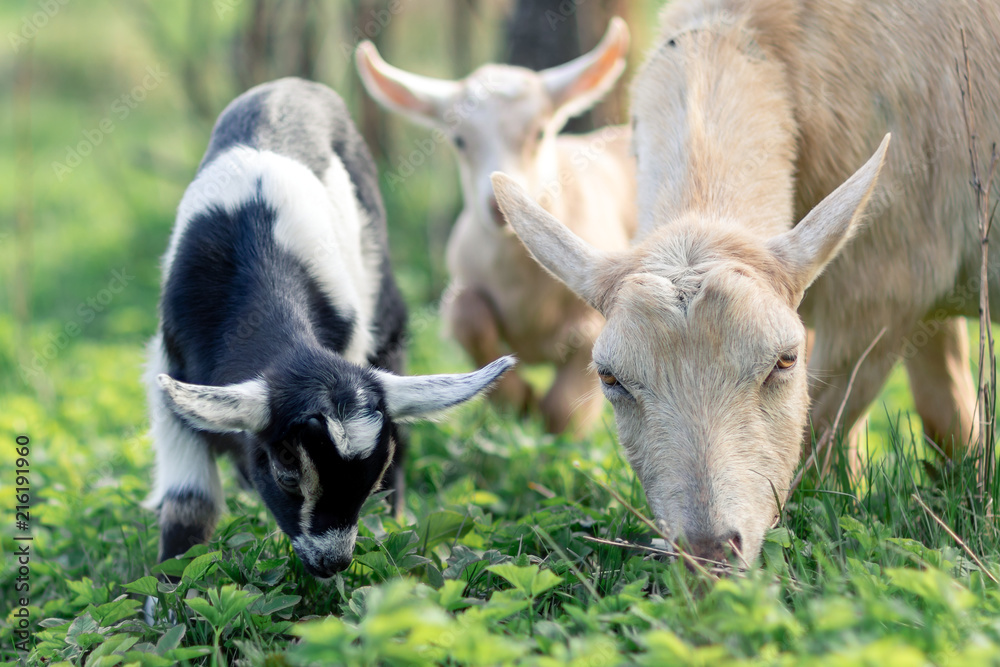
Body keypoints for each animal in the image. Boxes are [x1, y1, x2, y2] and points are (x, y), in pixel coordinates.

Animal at [144, 78, 513, 581]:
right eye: (286, 464)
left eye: (375, 471)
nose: (332, 561)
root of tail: (292, 85)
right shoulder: (169, 370)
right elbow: (188, 507)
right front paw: (166, 587)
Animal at [355, 19, 636, 434]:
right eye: (459, 140)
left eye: (539, 132)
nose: (496, 208)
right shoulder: (462, 288)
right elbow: (468, 317)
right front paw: (518, 402)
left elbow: (566, 404)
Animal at [494, 0, 1000, 564]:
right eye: (610, 378)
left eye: (786, 361)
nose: (710, 550)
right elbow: (948, 420)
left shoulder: (880, 293)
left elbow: (823, 443)